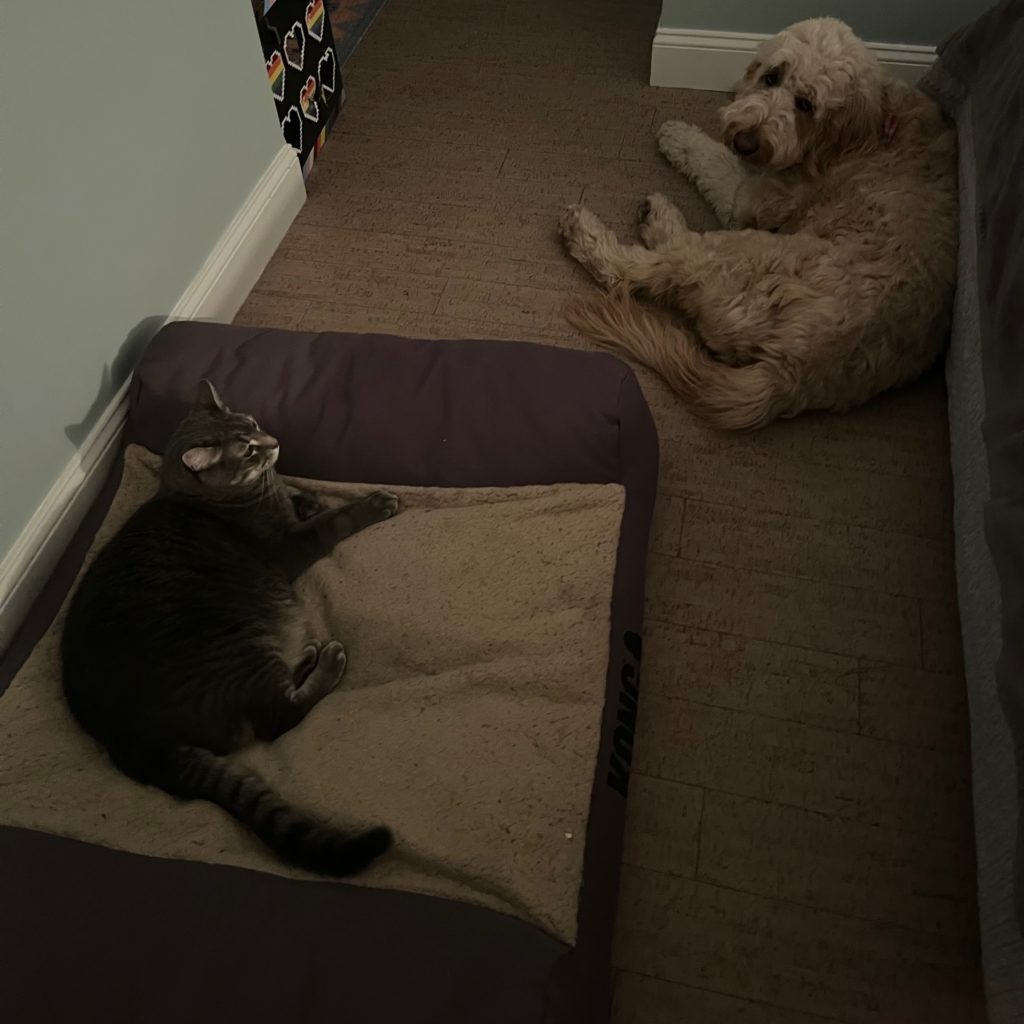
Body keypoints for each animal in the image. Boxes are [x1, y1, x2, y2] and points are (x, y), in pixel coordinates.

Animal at [60, 380, 395, 876]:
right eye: (248, 450)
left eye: (252, 424)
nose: (274, 442)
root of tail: (134, 740)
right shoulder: (290, 546)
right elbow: (332, 521)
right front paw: (370, 504)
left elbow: (300, 496)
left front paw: (306, 496)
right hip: (240, 647)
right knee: (278, 718)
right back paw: (327, 661)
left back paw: (307, 656)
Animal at [557, 18, 954, 430]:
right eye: (772, 77)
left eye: (806, 104)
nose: (746, 141)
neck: (866, 134)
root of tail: (790, 375)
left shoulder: (750, 200)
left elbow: (714, 159)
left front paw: (678, 133)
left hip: (742, 253)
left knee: (643, 268)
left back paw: (621, 225)